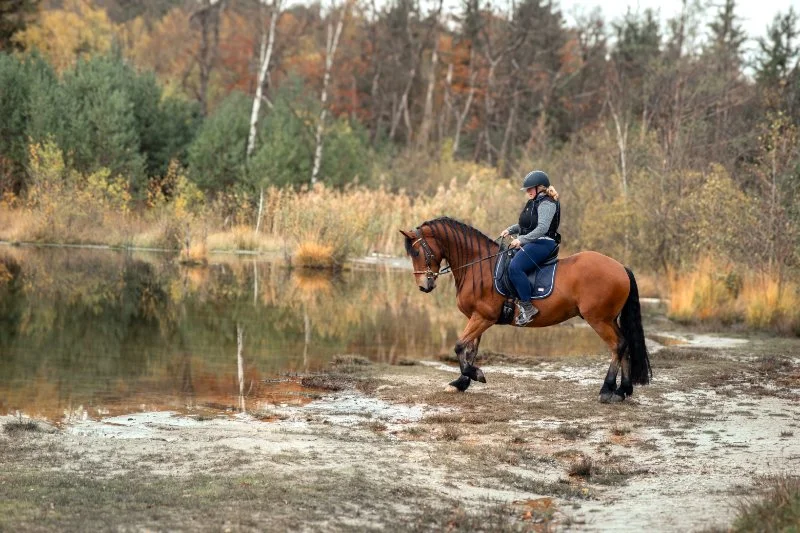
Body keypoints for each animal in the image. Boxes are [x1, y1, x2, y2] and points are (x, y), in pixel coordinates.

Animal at [400, 217, 651, 402]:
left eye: (417, 253)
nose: (424, 286)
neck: (479, 265)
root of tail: (621, 267)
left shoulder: (483, 318)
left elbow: (460, 346)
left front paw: (476, 375)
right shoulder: (476, 317)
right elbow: (469, 350)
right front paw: (460, 383)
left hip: (599, 319)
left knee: (617, 346)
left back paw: (607, 390)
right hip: (609, 319)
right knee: (625, 344)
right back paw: (622, 390)